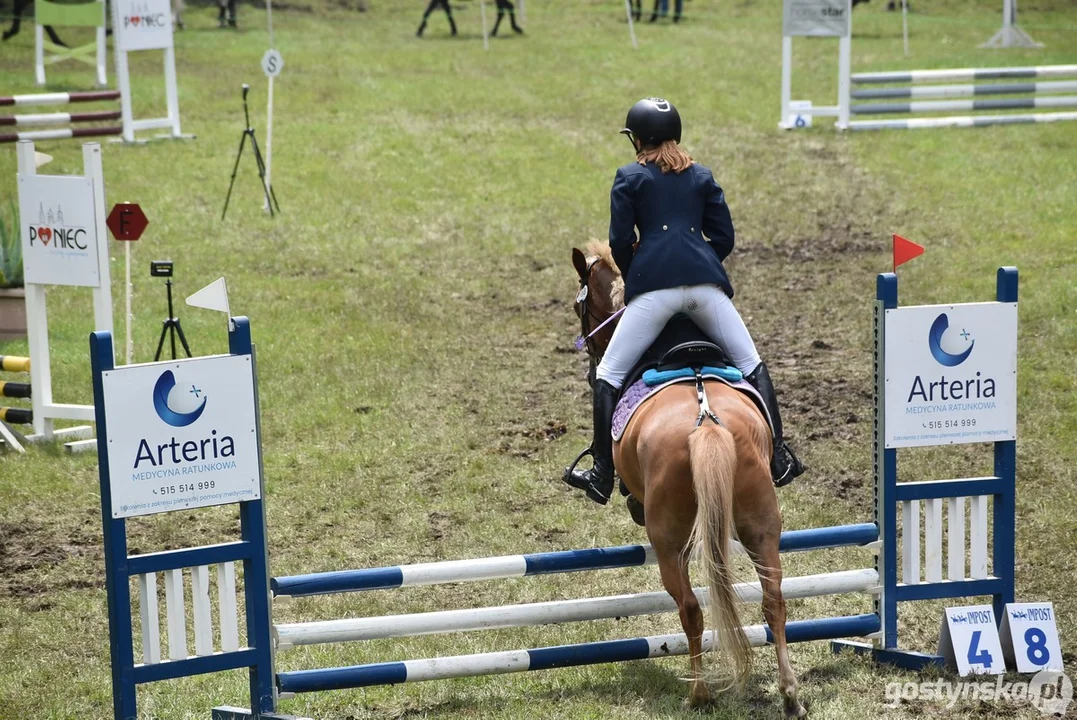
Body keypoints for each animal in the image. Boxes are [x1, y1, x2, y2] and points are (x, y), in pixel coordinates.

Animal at [568, 244, 805, 714]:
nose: (589, 369)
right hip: (761, 524)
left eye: (578, 306)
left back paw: (699, 693)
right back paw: (789, 695)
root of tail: (705, 423)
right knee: (774, 602)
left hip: (670, 541)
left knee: (691, 608)